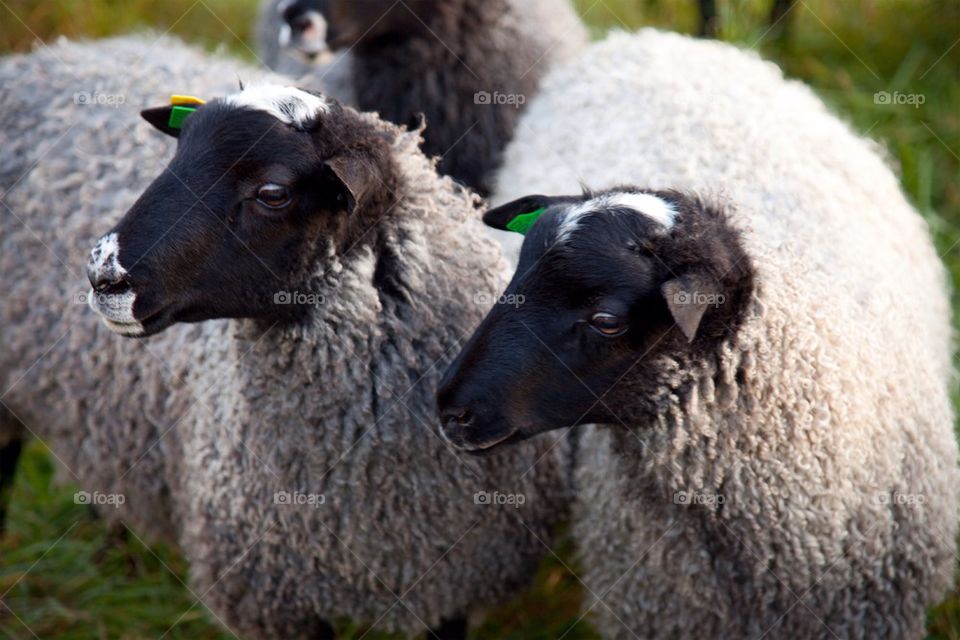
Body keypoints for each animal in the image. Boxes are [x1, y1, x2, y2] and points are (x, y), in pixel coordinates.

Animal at [2, 35, 571, 638]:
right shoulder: (272, 597)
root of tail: (62, 52)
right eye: (175, 158)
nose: (103, 276)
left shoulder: (453, 584)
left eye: (272, 193)